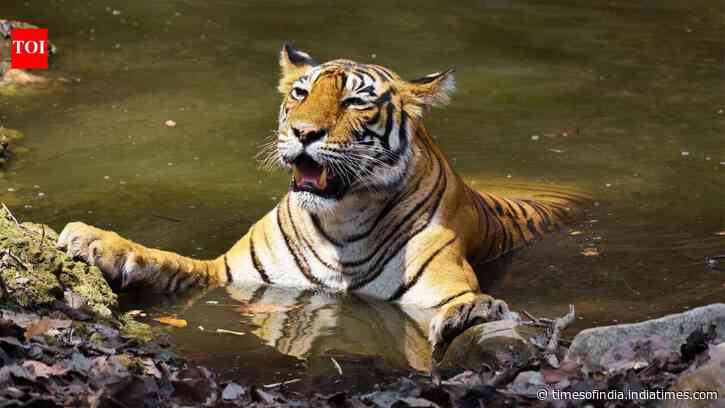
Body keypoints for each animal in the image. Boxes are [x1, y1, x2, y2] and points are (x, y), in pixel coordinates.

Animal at [56, 43, 585, 363]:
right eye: (300, 92)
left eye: (355, 102)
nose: (303, 132)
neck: (341, 219)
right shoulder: (226, 272)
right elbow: (164, 258)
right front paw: (95, 242)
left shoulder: (440, 284)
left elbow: (463, 301)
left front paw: (470, 317)